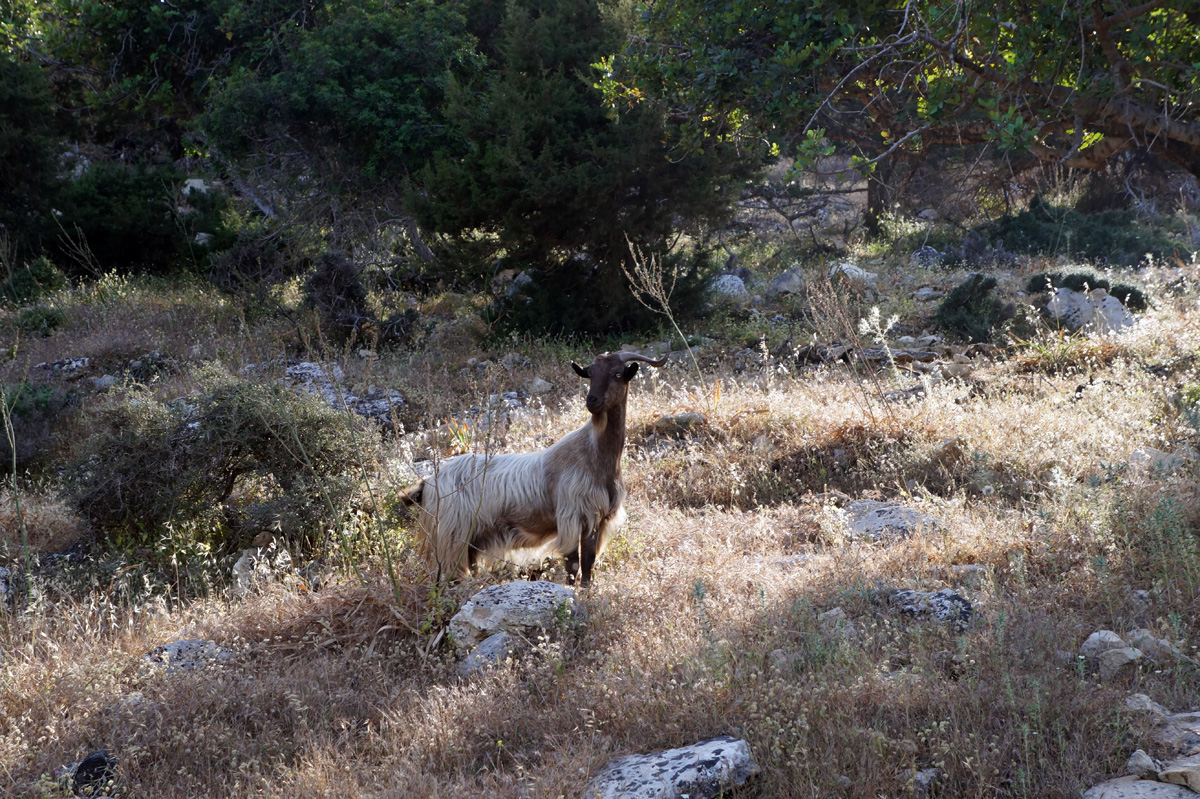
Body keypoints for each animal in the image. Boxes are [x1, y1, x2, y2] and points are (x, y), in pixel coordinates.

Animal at [400, 352, 667, 583]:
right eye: (590, 374)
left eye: (618, 374)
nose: (592, 401)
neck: (595, 455)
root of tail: (428, 482)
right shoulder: (571, 516)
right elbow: (573, 565)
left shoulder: (597, 521)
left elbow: (588, 565)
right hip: (450, 535)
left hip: (468, 539)